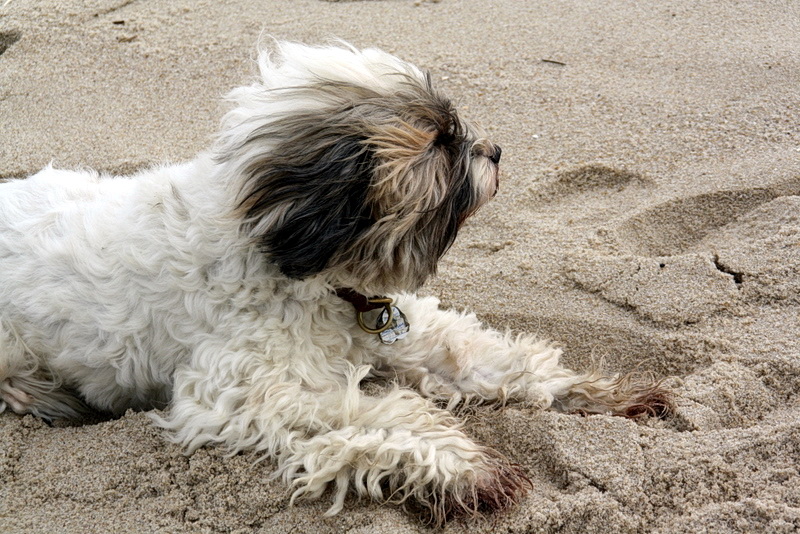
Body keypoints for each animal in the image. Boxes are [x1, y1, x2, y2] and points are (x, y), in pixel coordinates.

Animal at [0, 41, 669, 524]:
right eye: (440, 141)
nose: (496, 150)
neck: (302, 270)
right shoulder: (246, 394)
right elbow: (385, 414)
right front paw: (468, 469)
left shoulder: (402, 329)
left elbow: (491, 359)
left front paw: (600, 393)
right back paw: (46, 400)